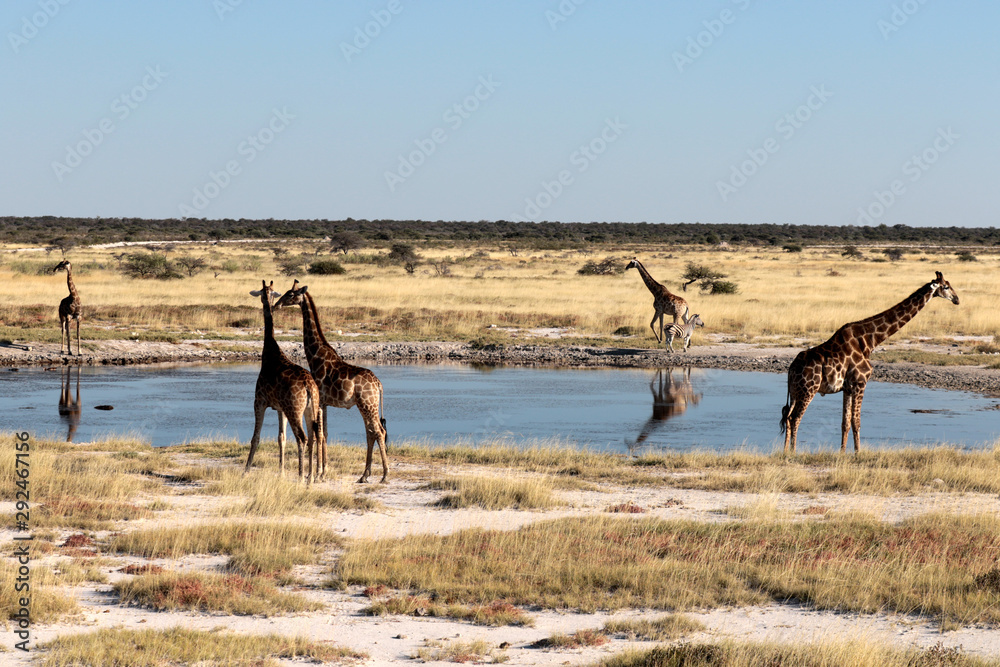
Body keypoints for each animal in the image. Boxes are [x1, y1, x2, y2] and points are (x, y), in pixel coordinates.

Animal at [244, 280, 322, 482]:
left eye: (264, 292)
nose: (272, 305)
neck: (270, 351)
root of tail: (309, 387)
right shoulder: (280, 408)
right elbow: (281, 438)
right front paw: (281, 472)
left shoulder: (259, 401)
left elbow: (255, 438)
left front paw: (245, 471)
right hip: (309, 408)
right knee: (313, 436)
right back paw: (310, 478)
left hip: (294, 409)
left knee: (302, 437)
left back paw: (301, 477)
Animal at [276, 280, 388, 482]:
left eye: (290, 295)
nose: (276, 305)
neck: (315, 356)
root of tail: (379, 385)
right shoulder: (325, 403)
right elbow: (325, 433)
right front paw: (323, 471)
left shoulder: (320, 402)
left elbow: (319, 434)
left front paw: (318, 473)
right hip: (366, 405)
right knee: (371, 433)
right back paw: (364, 475)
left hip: (368, 404)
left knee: (378, 431)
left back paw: (384, 475)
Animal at [780, 272, 960, 454]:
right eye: (946, 286)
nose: (957, 299)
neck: (869, 341)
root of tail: (791, 369)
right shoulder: (861, 382)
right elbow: (856, 422)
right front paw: (857, 454)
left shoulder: (848, 387)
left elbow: (845, 422)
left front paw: (842, 453)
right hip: (809, 389)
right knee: (795, 418)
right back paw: (793, 452)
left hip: (795, 392)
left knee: (787, 416)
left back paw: (785, 451)